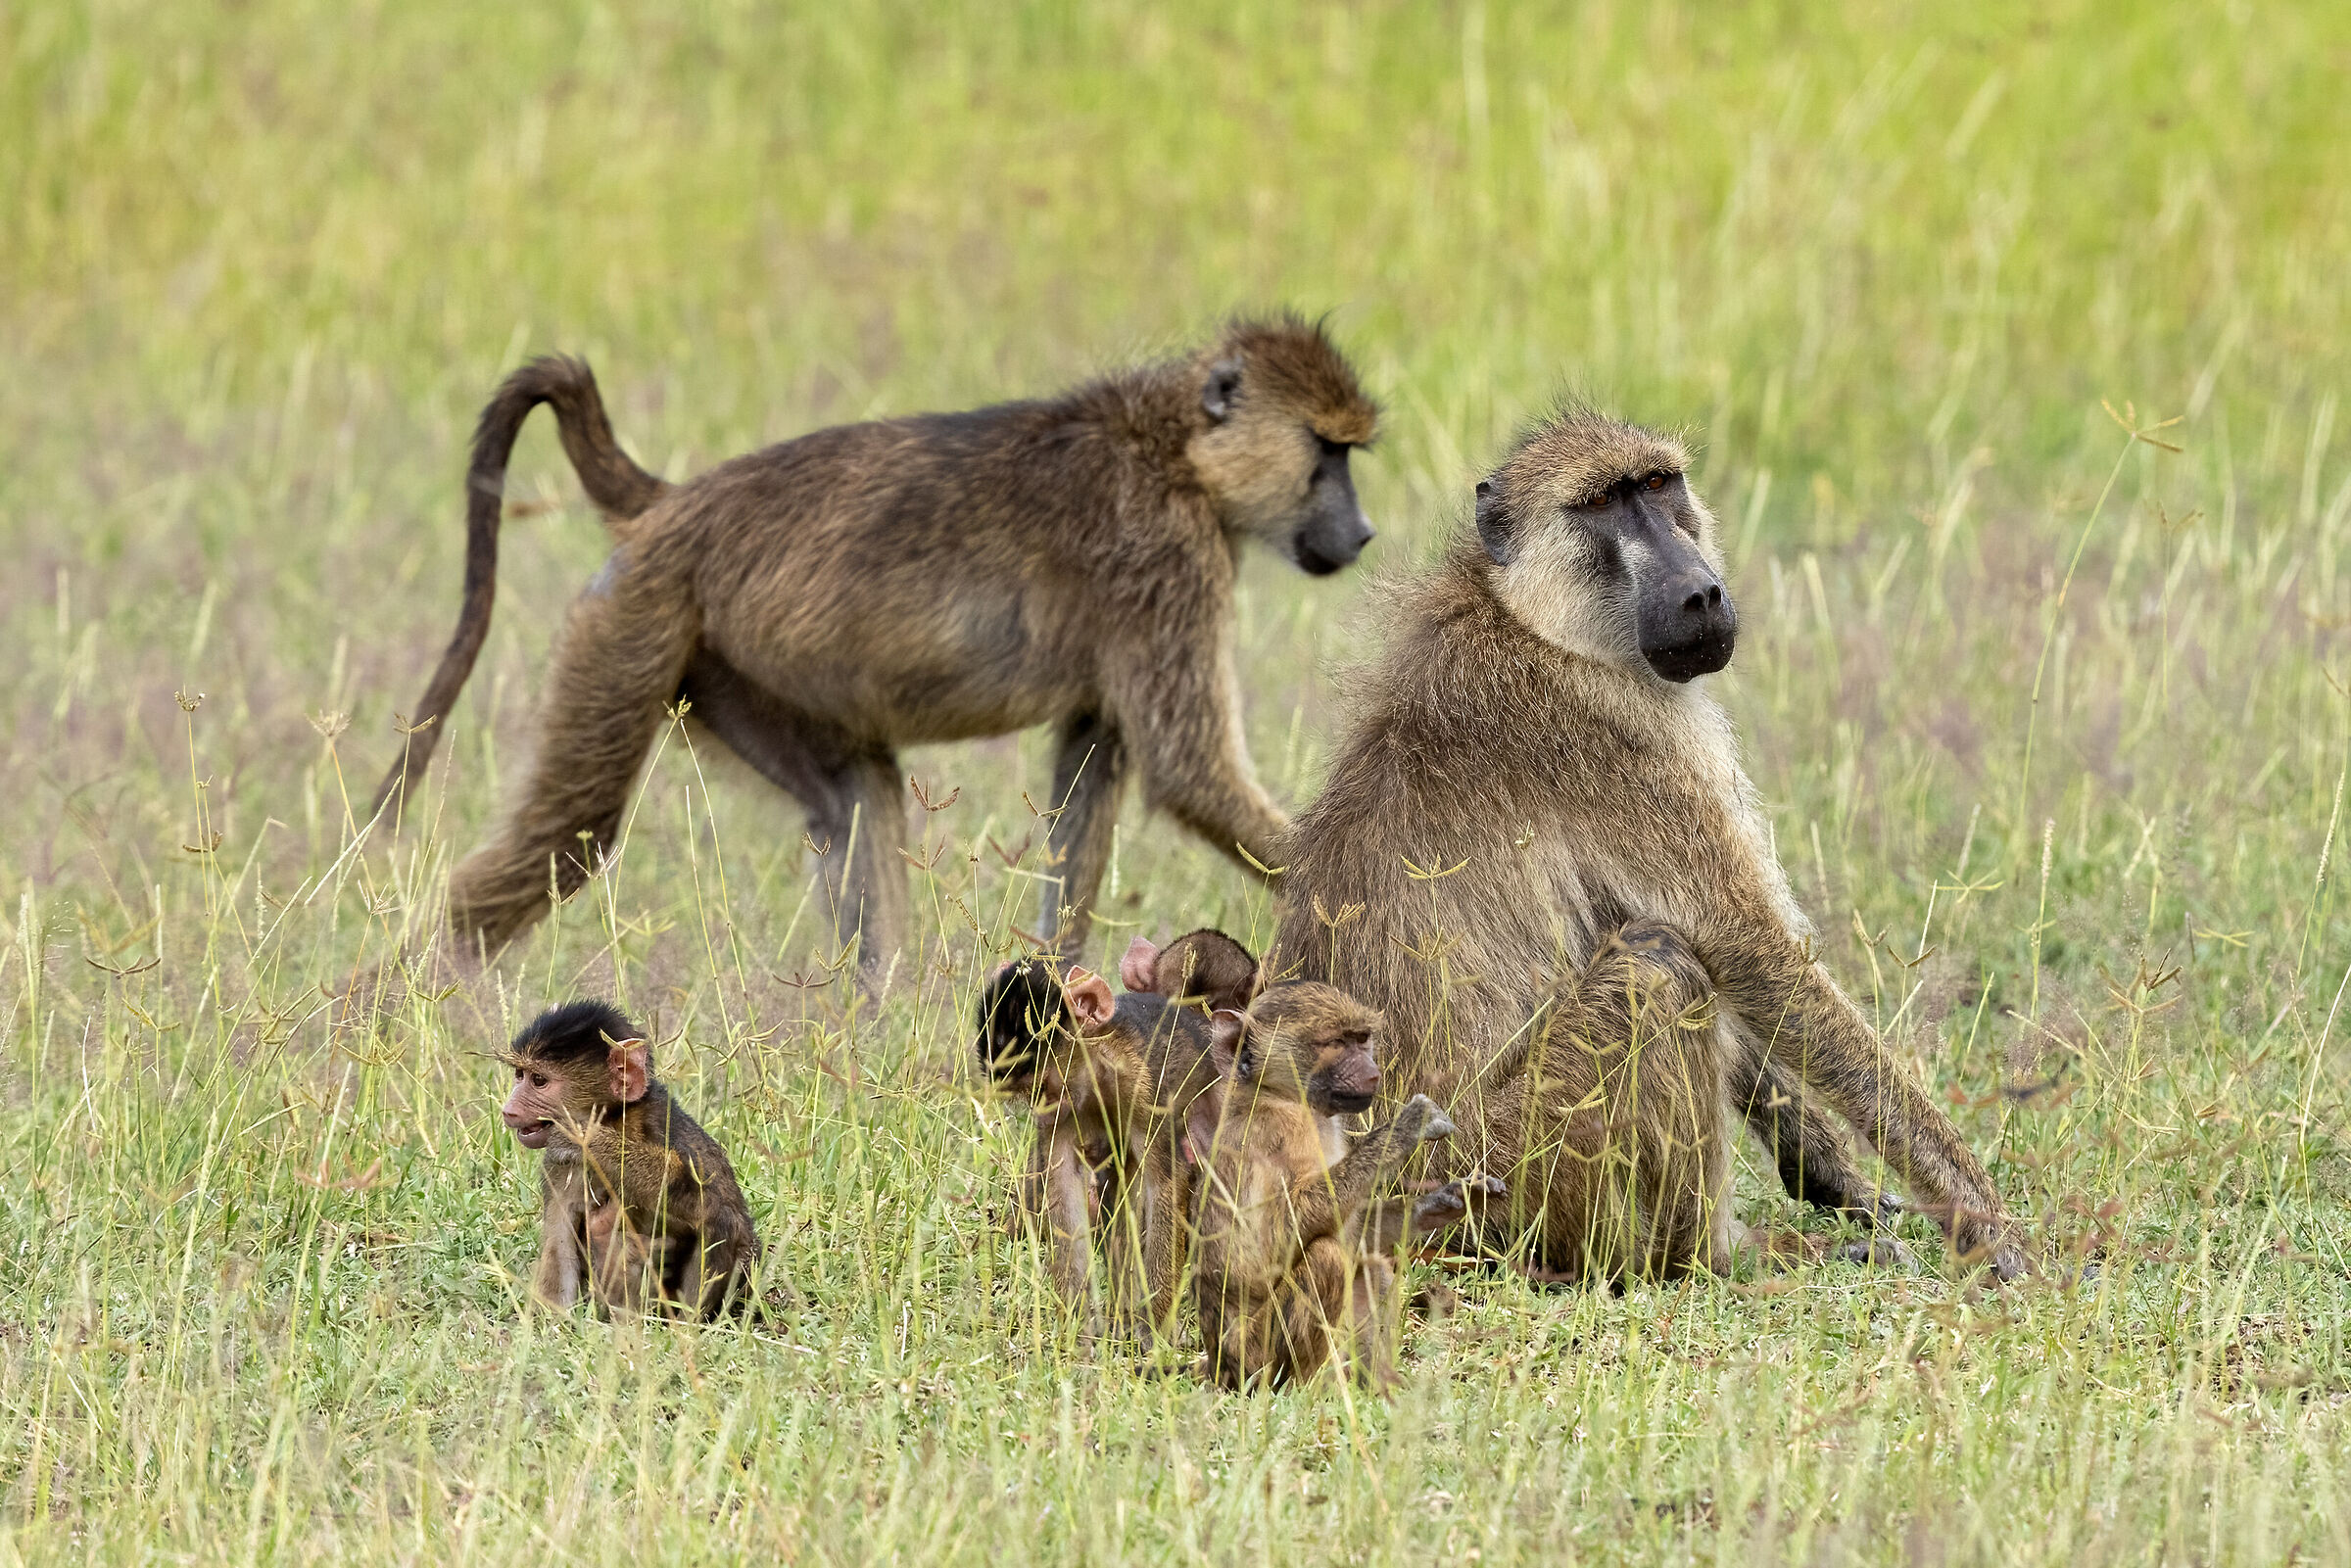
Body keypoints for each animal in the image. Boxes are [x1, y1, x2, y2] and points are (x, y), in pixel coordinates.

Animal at [375, 319, 1381, 978]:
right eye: (1326, 452)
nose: (1364, 531)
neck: (1175, 450)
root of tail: (674, 503)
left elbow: (1086, 790)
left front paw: (1057, 999)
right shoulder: (1168, 563)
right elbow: (1190, 769)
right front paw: (1363, 902)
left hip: (731, 671)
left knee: (852, 802)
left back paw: (880, 1032)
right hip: (633, 623)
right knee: (568, 839)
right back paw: (403, 1012)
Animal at [501, 999, 763, 1318]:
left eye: (539, 1080)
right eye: (520, 1075)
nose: (509, 1109)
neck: (616, 1119)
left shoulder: (663, 1126)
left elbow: (710, 1199)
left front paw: (589, 1140)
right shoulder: (558, 1167)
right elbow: (558, 1250)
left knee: (721, 1219)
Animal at [972, 956, 1229, 1344]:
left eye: (1044, 1087)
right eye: (1030, 1095)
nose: (1041, 1111)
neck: (1099, 1074)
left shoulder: (1146, 1090)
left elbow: (1165, 1185)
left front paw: (1150, 1330)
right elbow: (1063, 1185)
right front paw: (1077, 1325)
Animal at [1188, 981, 1466, 1390]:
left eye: (1361, 1039)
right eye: (1335, 1043)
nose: (1372, 1073)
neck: (1281, 1096)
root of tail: (1217, 1362)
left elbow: (1355, 1234)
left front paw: (1437, 1204)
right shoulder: (1280, 1135)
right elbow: (1273, 1244)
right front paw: (1408, 1125)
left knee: (1370, 1269)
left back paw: (1377, 1384)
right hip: (1253, 1356)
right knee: (1326, 1259)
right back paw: (1304, 1391)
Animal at [1268, 406, 2023, 1283]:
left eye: (1659, 484)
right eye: (1601, 503)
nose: (1699, 592)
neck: (1536, 622)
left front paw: (1835, 1175)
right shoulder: (1622, 741)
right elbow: (1747, 947)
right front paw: (1991, 1224)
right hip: (1505, 1174)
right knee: (1659, 964)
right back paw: (1720, 1256)